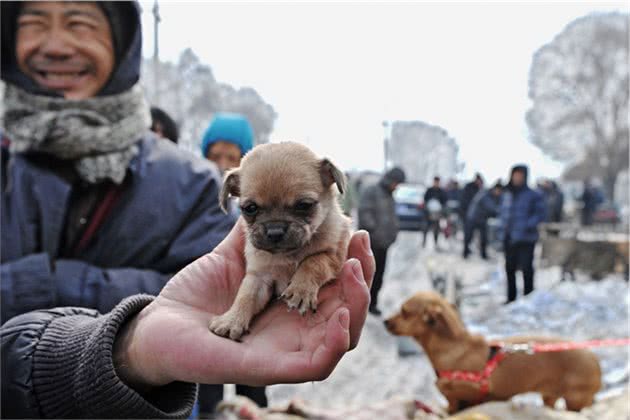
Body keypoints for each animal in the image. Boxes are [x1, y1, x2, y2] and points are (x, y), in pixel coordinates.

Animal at [210, 143, 354, 340]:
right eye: (250, 208)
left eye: (304, 205)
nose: (275, 230)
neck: (288, 254)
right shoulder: (259, 276)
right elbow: (246, 295)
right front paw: (232, 319)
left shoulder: (333, 255)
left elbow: (313, 262)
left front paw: (301, 289)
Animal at [386, 292, 604, 414]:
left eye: (404, 312)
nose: (385, 321)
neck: (453, 346)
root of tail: (594, 358)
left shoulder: (466, 393)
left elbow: (453, 404)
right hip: (549, 396)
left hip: (574, 400)